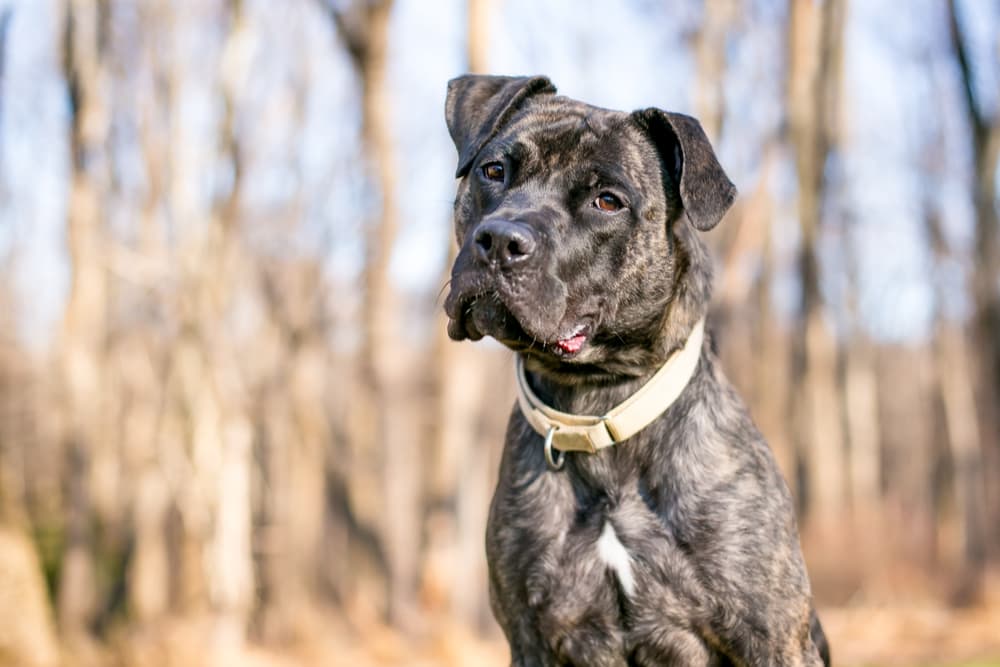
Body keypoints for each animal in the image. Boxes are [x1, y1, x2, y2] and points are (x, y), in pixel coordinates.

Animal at [444, 75, 828, 664]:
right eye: (493, 171)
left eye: (607, 201)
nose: (500, 240)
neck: (597, 401)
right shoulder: (530, 637)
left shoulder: (771, 636)